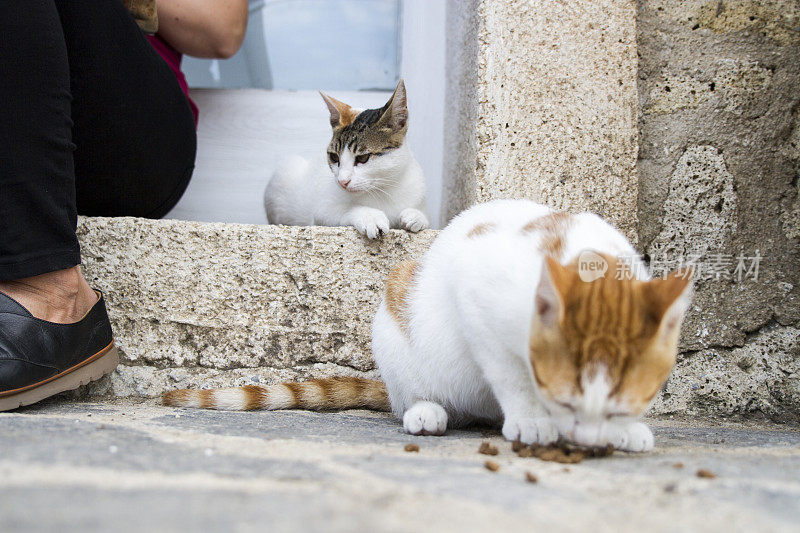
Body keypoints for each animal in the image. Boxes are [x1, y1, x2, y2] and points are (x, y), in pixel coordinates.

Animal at [166, 202, 692, 450]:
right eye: (563, 398)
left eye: (625, 401)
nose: (587, 440)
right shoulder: (478, 294)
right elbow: (510, 374)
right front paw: (530, 417)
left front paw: (625, 431)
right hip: (393, 318)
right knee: (410, 398)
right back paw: (426, 411)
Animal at [264, 78, 428, 238]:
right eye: (334, 157)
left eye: (363, 158)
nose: (342, 182)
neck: (384, 188)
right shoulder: (321, 214)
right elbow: (345, 210)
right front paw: (370, 216)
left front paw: (417, 216)